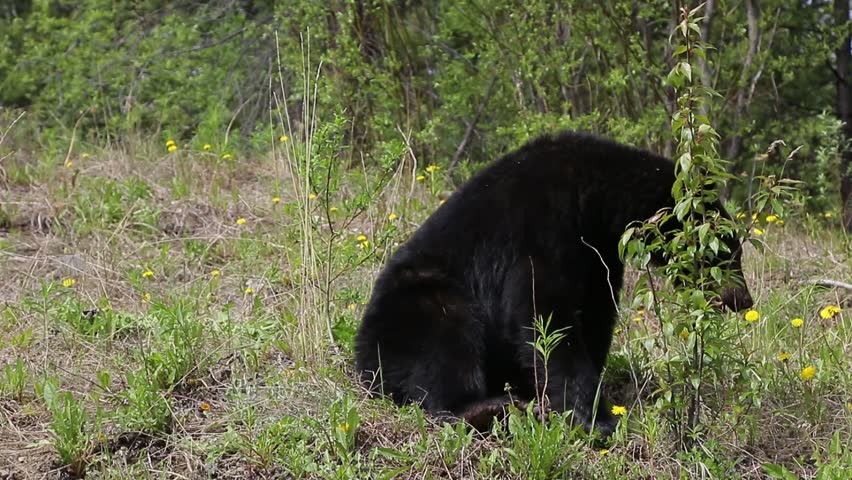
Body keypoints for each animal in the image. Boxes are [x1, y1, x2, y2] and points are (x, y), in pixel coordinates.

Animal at [354, 131, 753, 435]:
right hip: (417, 301)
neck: (593, 201)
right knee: (445, 338)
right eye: (728, 250)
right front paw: (594, 418)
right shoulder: (538, 232)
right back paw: (488, 407)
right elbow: (545, 315)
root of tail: (361, 362)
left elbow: (594, 315)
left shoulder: (596, 256)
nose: (743, 299)